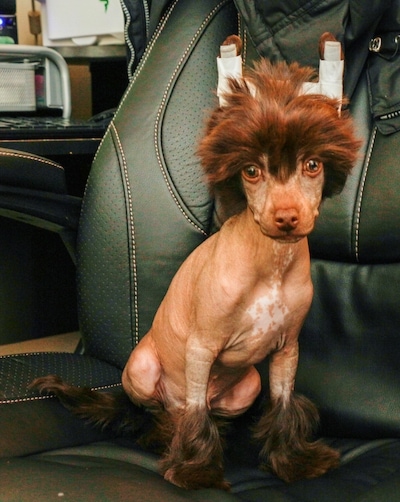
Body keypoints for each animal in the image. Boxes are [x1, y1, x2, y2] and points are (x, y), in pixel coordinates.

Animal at [32, 35, 360, 490]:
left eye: (312, 165)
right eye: (251, 171)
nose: (286, 218)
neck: (271, 266)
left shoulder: (286, 351)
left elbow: (282, 406)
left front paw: (293, 461)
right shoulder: (202, 347)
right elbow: (196, 414)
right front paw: (196, 470)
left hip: (247, 386)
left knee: (200, 412)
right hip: (142, 370)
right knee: (169, 412)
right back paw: (162, 436)